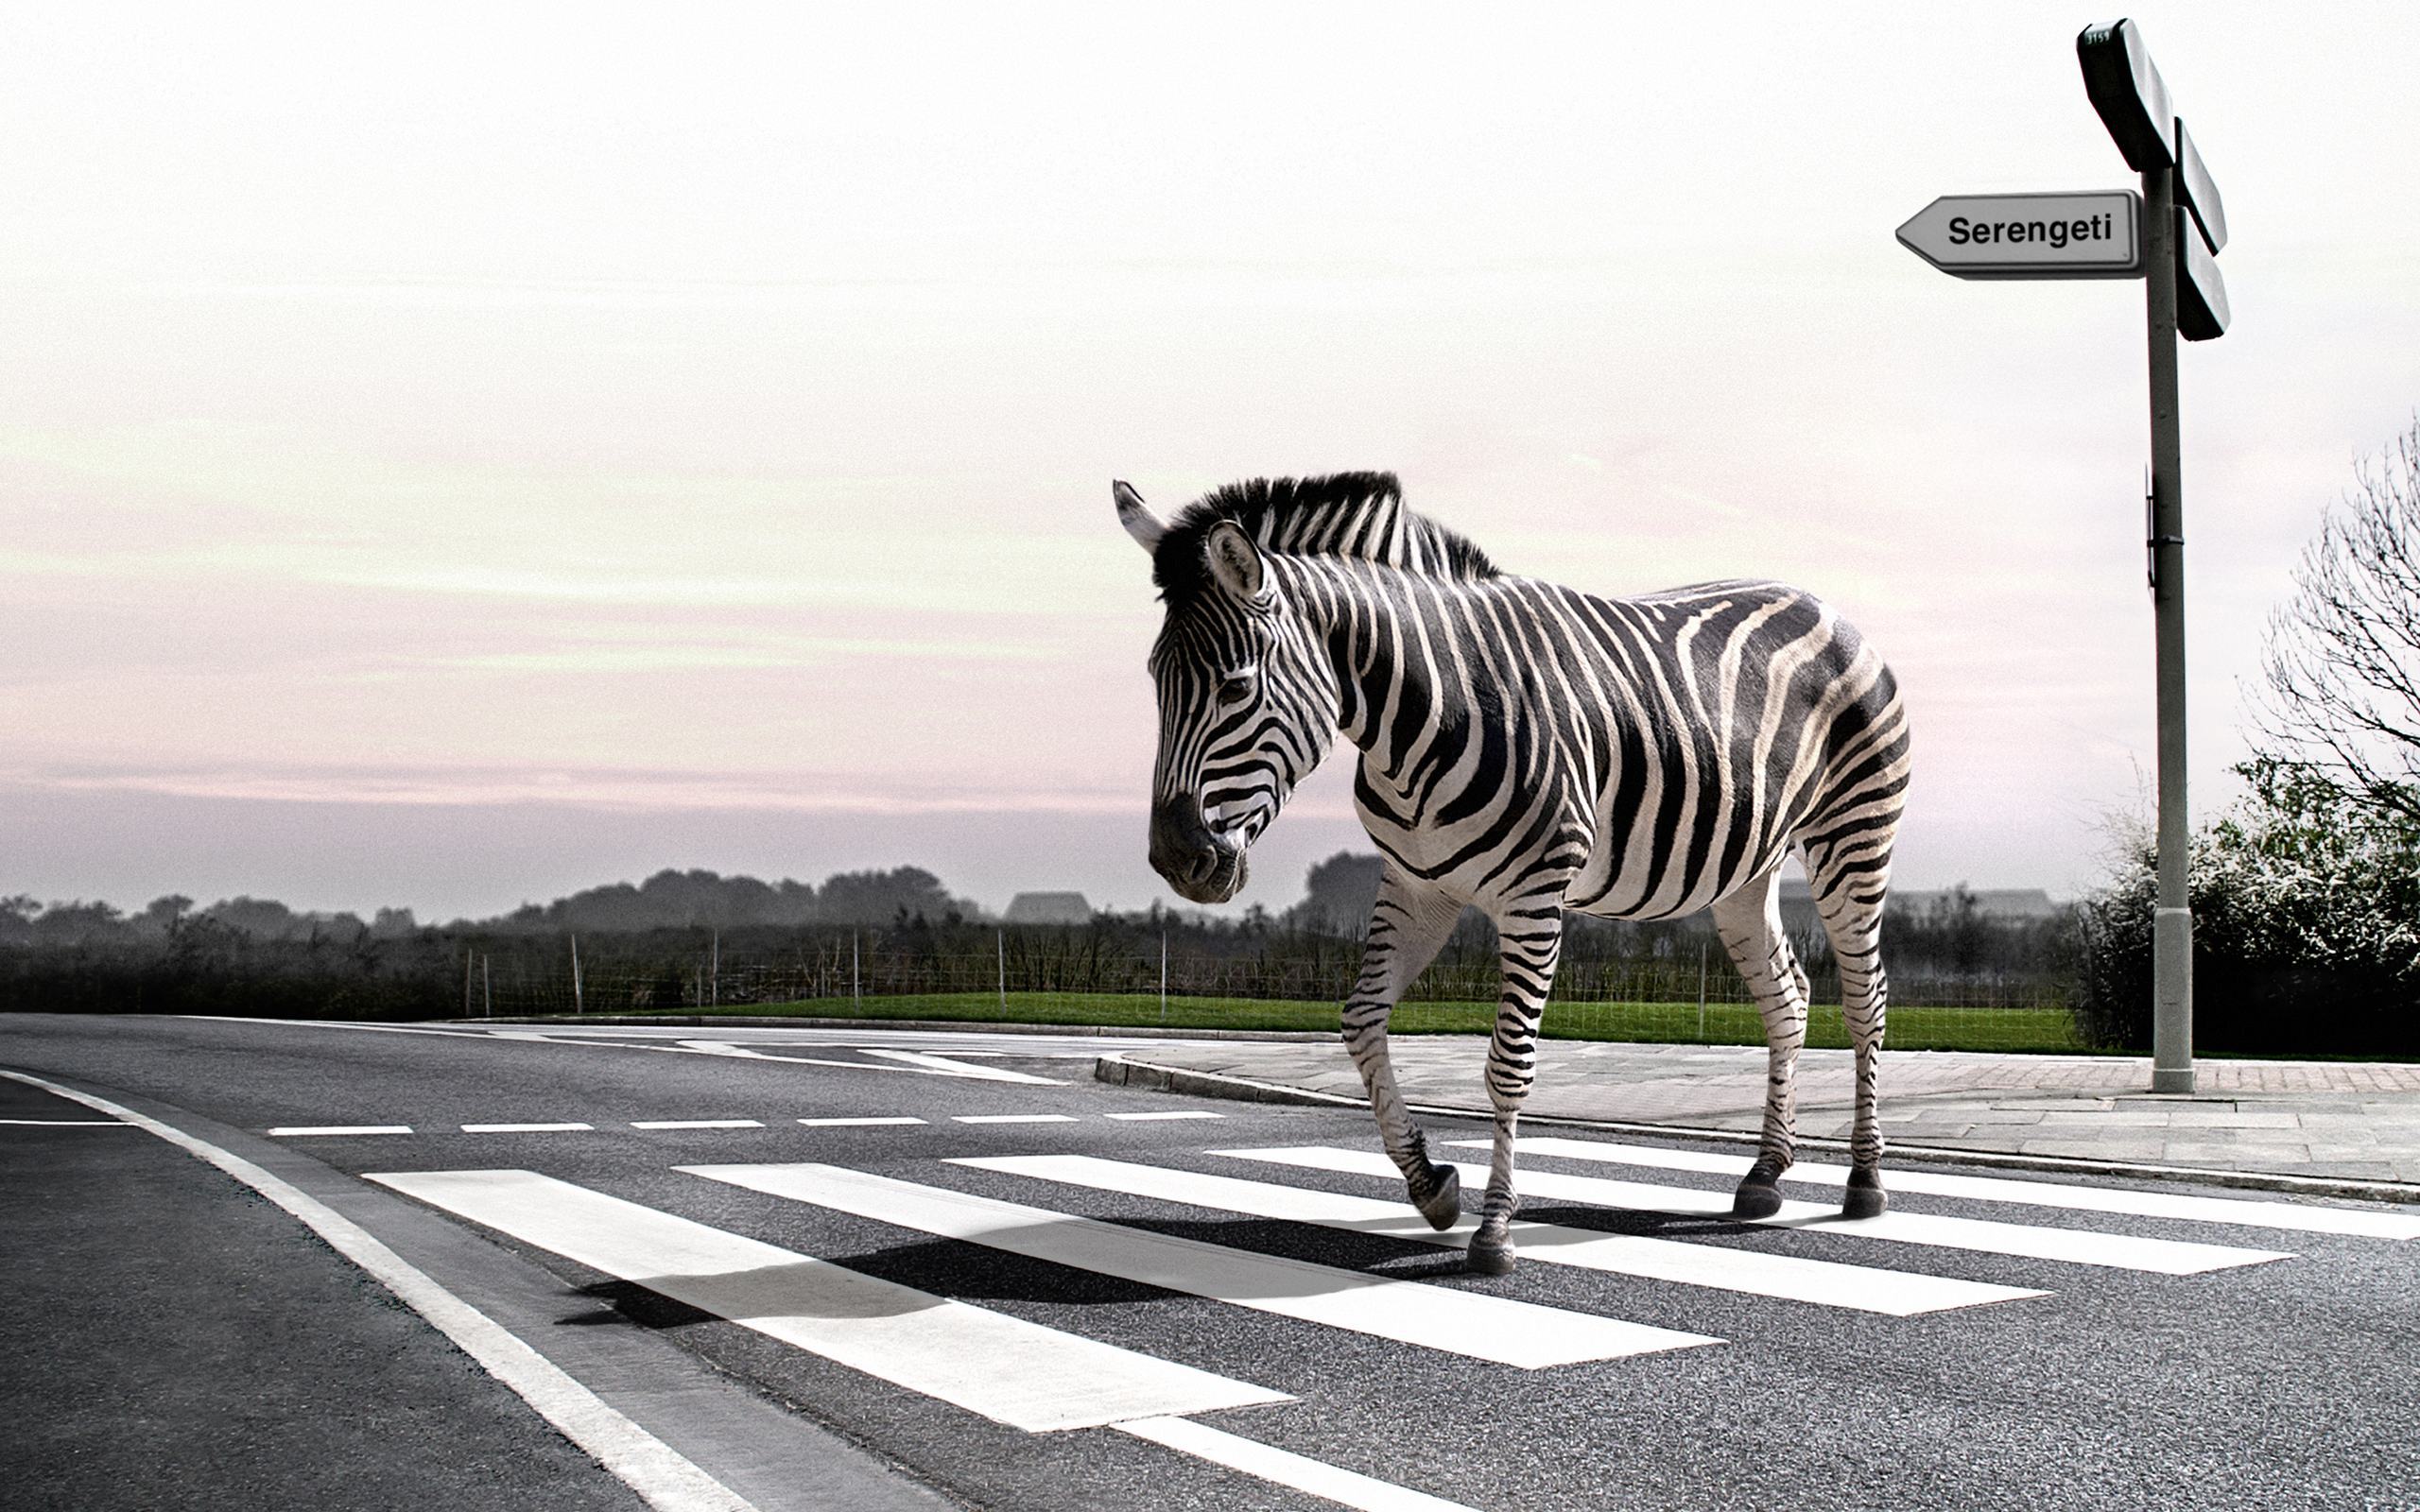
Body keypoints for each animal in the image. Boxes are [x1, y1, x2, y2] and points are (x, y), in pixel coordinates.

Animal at [1117, 471, 1910, 1275]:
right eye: (1154, 680)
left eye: (1235, 687)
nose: (1176, 859)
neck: (1424, 715)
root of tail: (1822, 605)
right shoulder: (1416, 888)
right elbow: (1361, 1024)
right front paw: (1431, 1185)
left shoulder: (1535, 895)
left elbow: (1508, 1064)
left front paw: (1495, 1229)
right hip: (1746, 872)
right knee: (1788, 998)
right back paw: (1765, 1173)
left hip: (1854, 837)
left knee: (1865, 999)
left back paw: (1864, 1179)